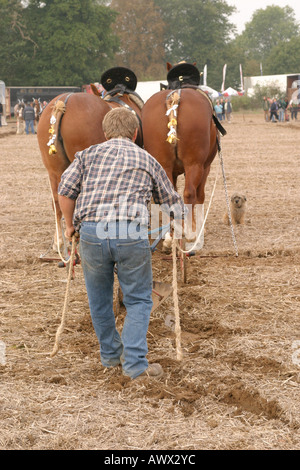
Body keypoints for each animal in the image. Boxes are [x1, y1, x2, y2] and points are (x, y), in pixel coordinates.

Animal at [142, 64, 225, 252]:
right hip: (194, 165)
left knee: (167, 198)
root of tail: (175, 96)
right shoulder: (204, 167)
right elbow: (199, 196)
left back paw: (169, 238)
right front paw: (197, 227)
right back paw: (189, 234)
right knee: (189, 193)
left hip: (163, 165)